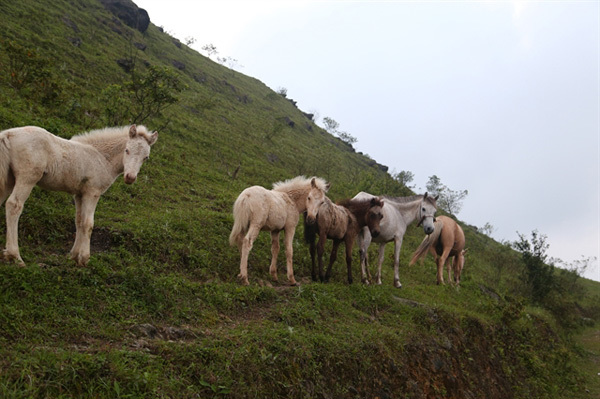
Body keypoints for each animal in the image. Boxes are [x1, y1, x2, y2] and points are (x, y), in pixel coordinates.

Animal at [0, 124, 157, 268]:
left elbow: (79, 221)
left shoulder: (79, 194)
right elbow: (88, 223)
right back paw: (15, 257)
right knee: (14, 205)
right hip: (27, 178)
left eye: (146, 157)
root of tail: (8, 134)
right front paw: (85, 259)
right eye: (127, 150)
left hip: (8, 180)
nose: (130, 178)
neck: (101, 157)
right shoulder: (92, 193)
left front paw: (74, 256)